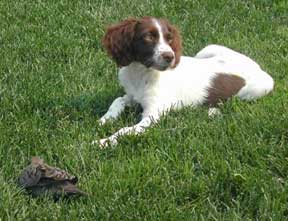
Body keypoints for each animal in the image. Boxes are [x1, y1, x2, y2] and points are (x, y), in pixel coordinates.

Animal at [93, 16, 274, 147]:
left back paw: (212, 111)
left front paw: (104, 141)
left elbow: (125, 130)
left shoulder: (152, 115)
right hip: (208, 48)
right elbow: (118, 100)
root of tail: (257, 67)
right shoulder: (132, 95)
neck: (141, 73)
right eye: (148, 37)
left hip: (260, 88)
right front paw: (104, 120)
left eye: (169, 39)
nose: (170, 57)